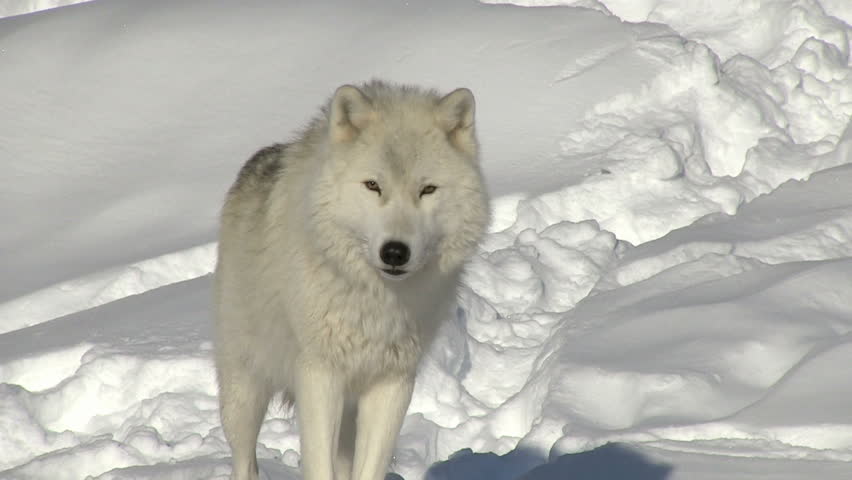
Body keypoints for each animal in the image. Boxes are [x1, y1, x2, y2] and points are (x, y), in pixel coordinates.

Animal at [216, 79, 490, 480]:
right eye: (373, 185)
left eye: (427, 190)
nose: (395, 252)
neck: (375, 302)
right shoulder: (319, 375)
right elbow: (319, 466)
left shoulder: (393, 383)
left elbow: (369, 467)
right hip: (245, 389)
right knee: (244, 461)